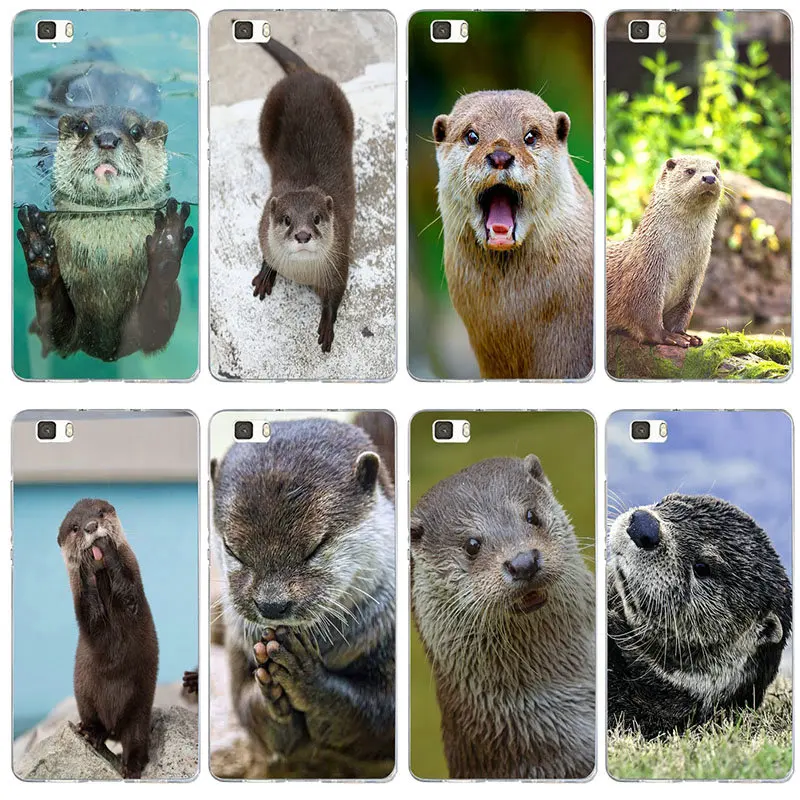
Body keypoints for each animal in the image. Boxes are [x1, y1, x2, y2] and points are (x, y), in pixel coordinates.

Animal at [16, 104, 193, 362]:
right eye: (83, 127)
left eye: (136, 131)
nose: (107, 139)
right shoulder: (66, 334)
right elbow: (54, 331)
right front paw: (40, 252)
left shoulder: (144, 329)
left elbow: (155, 327)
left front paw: (166, 247)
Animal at [58, 498, 159, 779]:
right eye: (75, 527)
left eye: (100, 513)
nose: (91, 526)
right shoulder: (83, 607)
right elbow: (91, 616)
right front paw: (86, 567)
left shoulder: (133, 584)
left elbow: (129, 594)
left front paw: (105, 546)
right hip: (85, 696)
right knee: (95, 721)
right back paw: (91, 734)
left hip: (139, 707)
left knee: (135, 737)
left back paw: (132, 765)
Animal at [211, 415, 395, 778]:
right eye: (232, 550)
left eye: (316, 547)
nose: (272, 604)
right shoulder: (238, 650)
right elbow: (248, 710)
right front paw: (270, 692)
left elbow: (378, 715)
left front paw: (304, 676)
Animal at [252, 39, 355, 353]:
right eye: (286, 220)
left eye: (317, 218)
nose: (302, 235)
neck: (303, 274)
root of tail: (305, 74)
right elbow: (266, 253)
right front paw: (265, 276)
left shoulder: (340, 262)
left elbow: (335, 297)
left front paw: (327, 326)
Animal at [607, 156, 723, 348]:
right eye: (690, 170)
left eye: (715, 171)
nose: (709, 178)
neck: (681, 257)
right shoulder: (646, 274)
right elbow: (646, 317)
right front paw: (670, 337)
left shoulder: (694, 280)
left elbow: (682, 312)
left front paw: (688, 336)